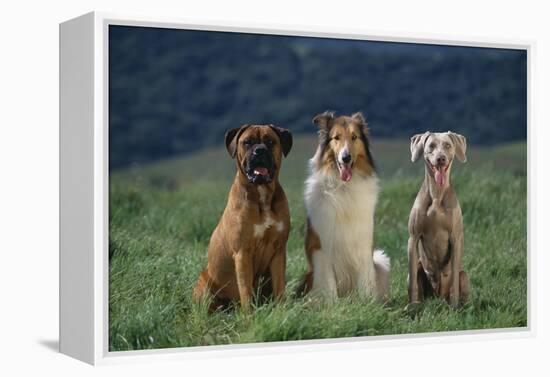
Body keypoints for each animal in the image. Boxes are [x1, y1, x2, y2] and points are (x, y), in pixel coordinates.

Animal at [194, 125, 294, 310]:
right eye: (247, 142)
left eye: (270, 141)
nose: (260, 150)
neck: (262, 196)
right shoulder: (242, 253)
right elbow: (245, 290)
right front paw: (249, 314)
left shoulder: (278, 251)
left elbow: (280, 286)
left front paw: (282, 310)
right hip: (205, 282)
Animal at [408, 131, 472, 306]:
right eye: (431, 146)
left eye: (448, 145)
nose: (441, 158)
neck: (437, 194)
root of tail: (437, 297)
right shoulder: (413, 237)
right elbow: (412, 284)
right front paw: (411, 307)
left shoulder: (455, 238)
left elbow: (455, 283)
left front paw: (454, 307)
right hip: (419, 267)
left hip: (464, 276)